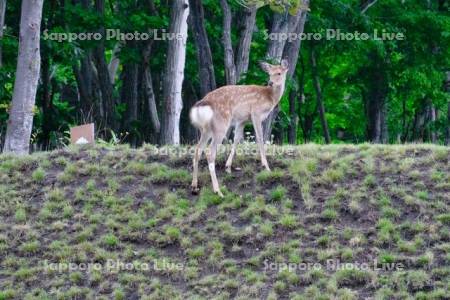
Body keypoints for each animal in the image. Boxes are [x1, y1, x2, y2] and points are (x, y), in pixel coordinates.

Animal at [189, 60, 288, 197]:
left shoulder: (242, 120)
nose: (270, 82)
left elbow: (237, 139)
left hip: (206, 129)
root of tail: (203, 103)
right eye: (269, 73)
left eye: (279, 73)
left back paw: (194, 186)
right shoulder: (256, 113)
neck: (270, 98)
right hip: (221, 123)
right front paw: (266, 166)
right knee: (209, 152)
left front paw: (228, 167)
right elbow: (260, 138)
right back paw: (218, 190)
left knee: (198, 149)